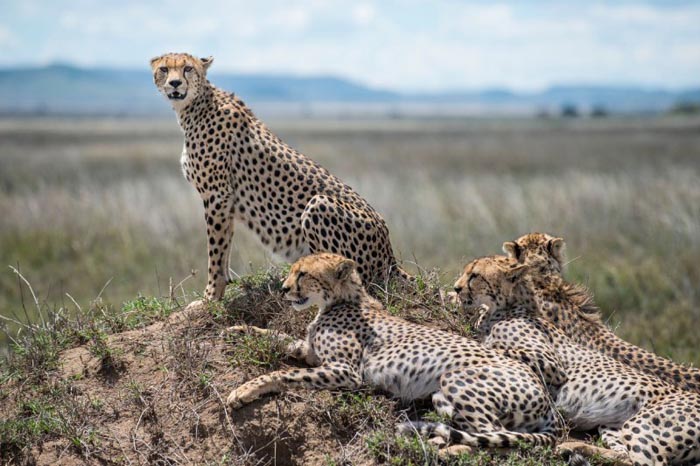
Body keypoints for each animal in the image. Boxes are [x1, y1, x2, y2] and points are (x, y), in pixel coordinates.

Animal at [150, 51, 408, 298]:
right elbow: (225, 246)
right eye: (164, 69)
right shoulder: (226, 201)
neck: (196, 105)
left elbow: (215, 249)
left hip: (319, 205)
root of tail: (391, 258)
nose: (174, 83)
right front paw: (222, 287)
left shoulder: (217, 194)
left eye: (187, 68)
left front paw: (210, 295)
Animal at [227, 253, 560, 450]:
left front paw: (243, 390)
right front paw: (238, 330)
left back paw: (437, 437)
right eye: (293, 272)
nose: (284, 289)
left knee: (490, 434)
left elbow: (285, 373)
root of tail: (546, 396)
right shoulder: (311, 352)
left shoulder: (345, 372)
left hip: (457, 378)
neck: (341, 300)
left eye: (303, 274)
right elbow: (277, 337)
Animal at [454, 255, 700, 466]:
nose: (456, 288)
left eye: (474, 275)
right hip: (611, 426)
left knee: (647, 461)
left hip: (642, 425)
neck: (508, 308)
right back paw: (572, 449)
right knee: (625, 456)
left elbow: (496, 345)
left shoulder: (551, 365)